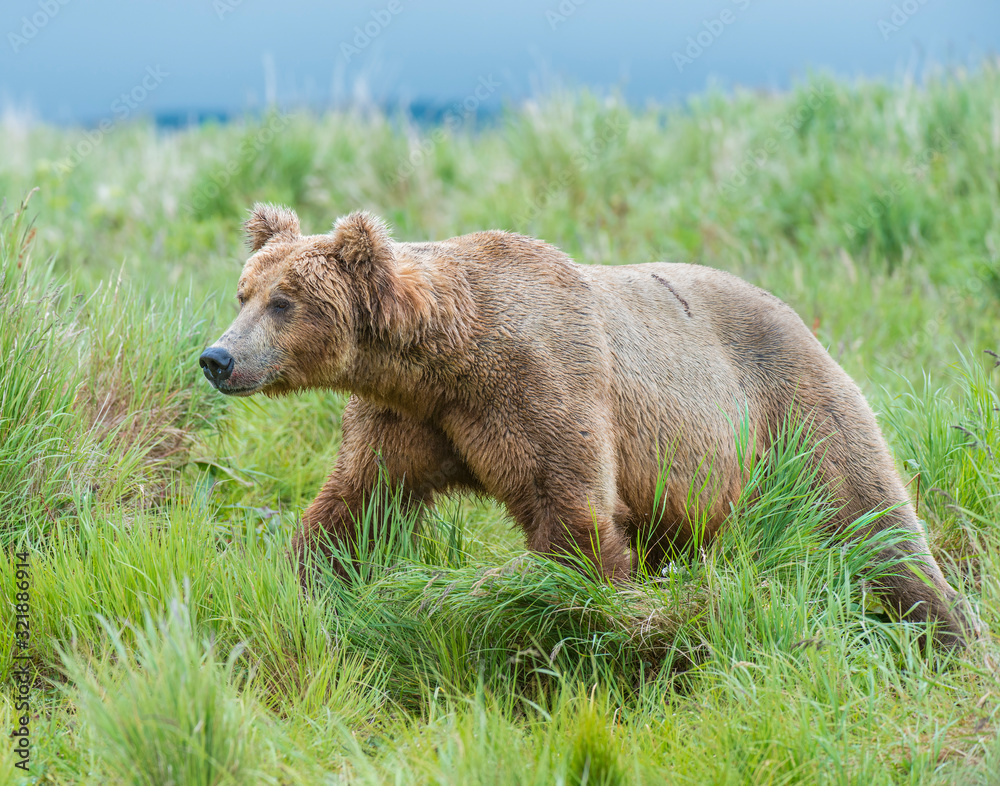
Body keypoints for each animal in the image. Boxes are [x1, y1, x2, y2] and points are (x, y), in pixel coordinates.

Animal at [200, 203, 977, 649]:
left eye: (284, 302)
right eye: (244, 292)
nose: (217, 357)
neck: (446, 358)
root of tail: (799, 314)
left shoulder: (542, 387)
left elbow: (572, 521)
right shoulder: (409, 419)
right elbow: (355, 506)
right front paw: (299, 585)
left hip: (790, 408)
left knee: (872, 517)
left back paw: (949, 628)